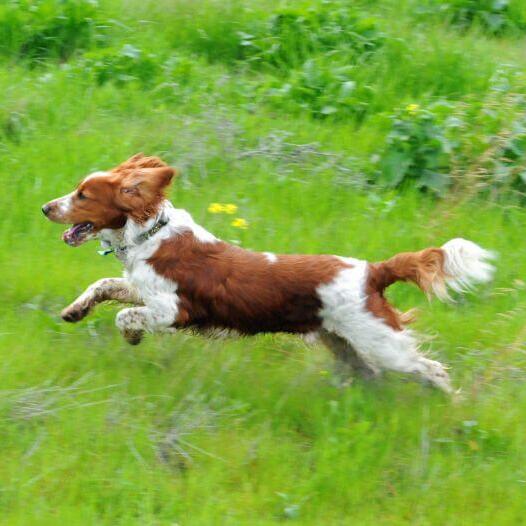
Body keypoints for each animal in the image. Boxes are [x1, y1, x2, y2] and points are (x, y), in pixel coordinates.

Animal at [43, 153, 498, 392]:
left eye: (83, 195)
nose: (46, 207)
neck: (149, 233)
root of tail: (374, 271)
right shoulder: (142, 288)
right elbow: (104, 285)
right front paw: (74, 311)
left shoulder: (173, 309)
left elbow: (125, 315)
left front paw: (133, 337)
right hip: (343, 343)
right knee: (372, 374)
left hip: (383, 343)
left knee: (434, 370)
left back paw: (451, 408)